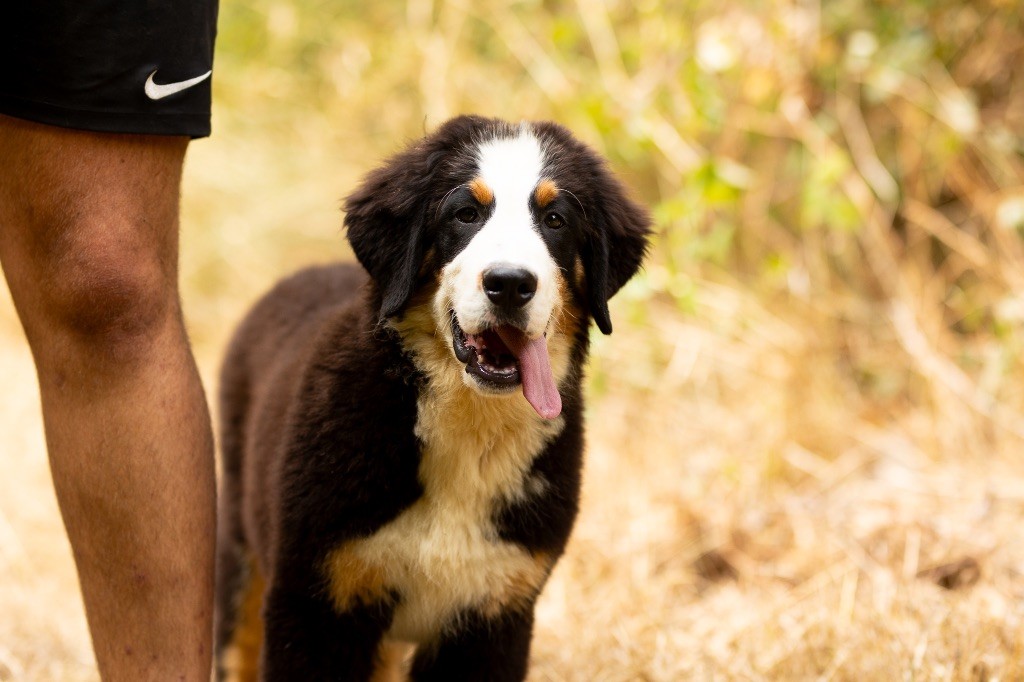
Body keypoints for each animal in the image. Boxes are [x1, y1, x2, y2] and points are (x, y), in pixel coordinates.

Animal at [212, 116, 651, 679]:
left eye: (555, 220)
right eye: (465, 214)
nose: (510, 283)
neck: (470, 428)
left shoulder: (496, 612)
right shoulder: (317, 605)